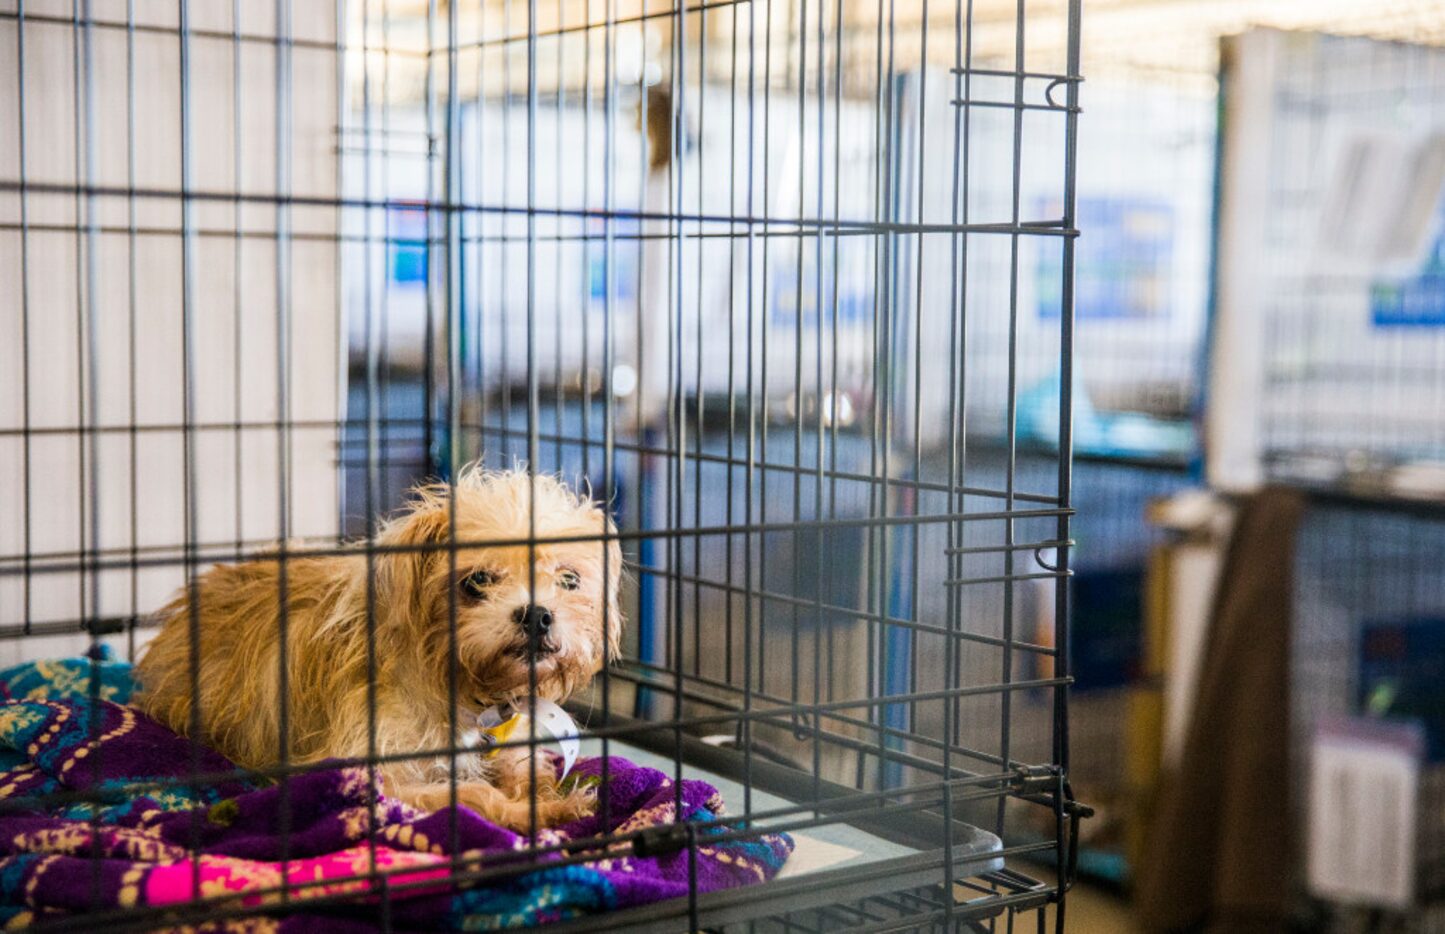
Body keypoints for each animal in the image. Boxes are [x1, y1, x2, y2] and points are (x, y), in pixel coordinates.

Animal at [136, 471, 627, 832]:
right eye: (477, 581)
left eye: (569, 580)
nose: (537, 615)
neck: (455, 683)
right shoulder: (370, 773)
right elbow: (472, 794)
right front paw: (529, 813)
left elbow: (525, 769)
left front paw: (552, 802)